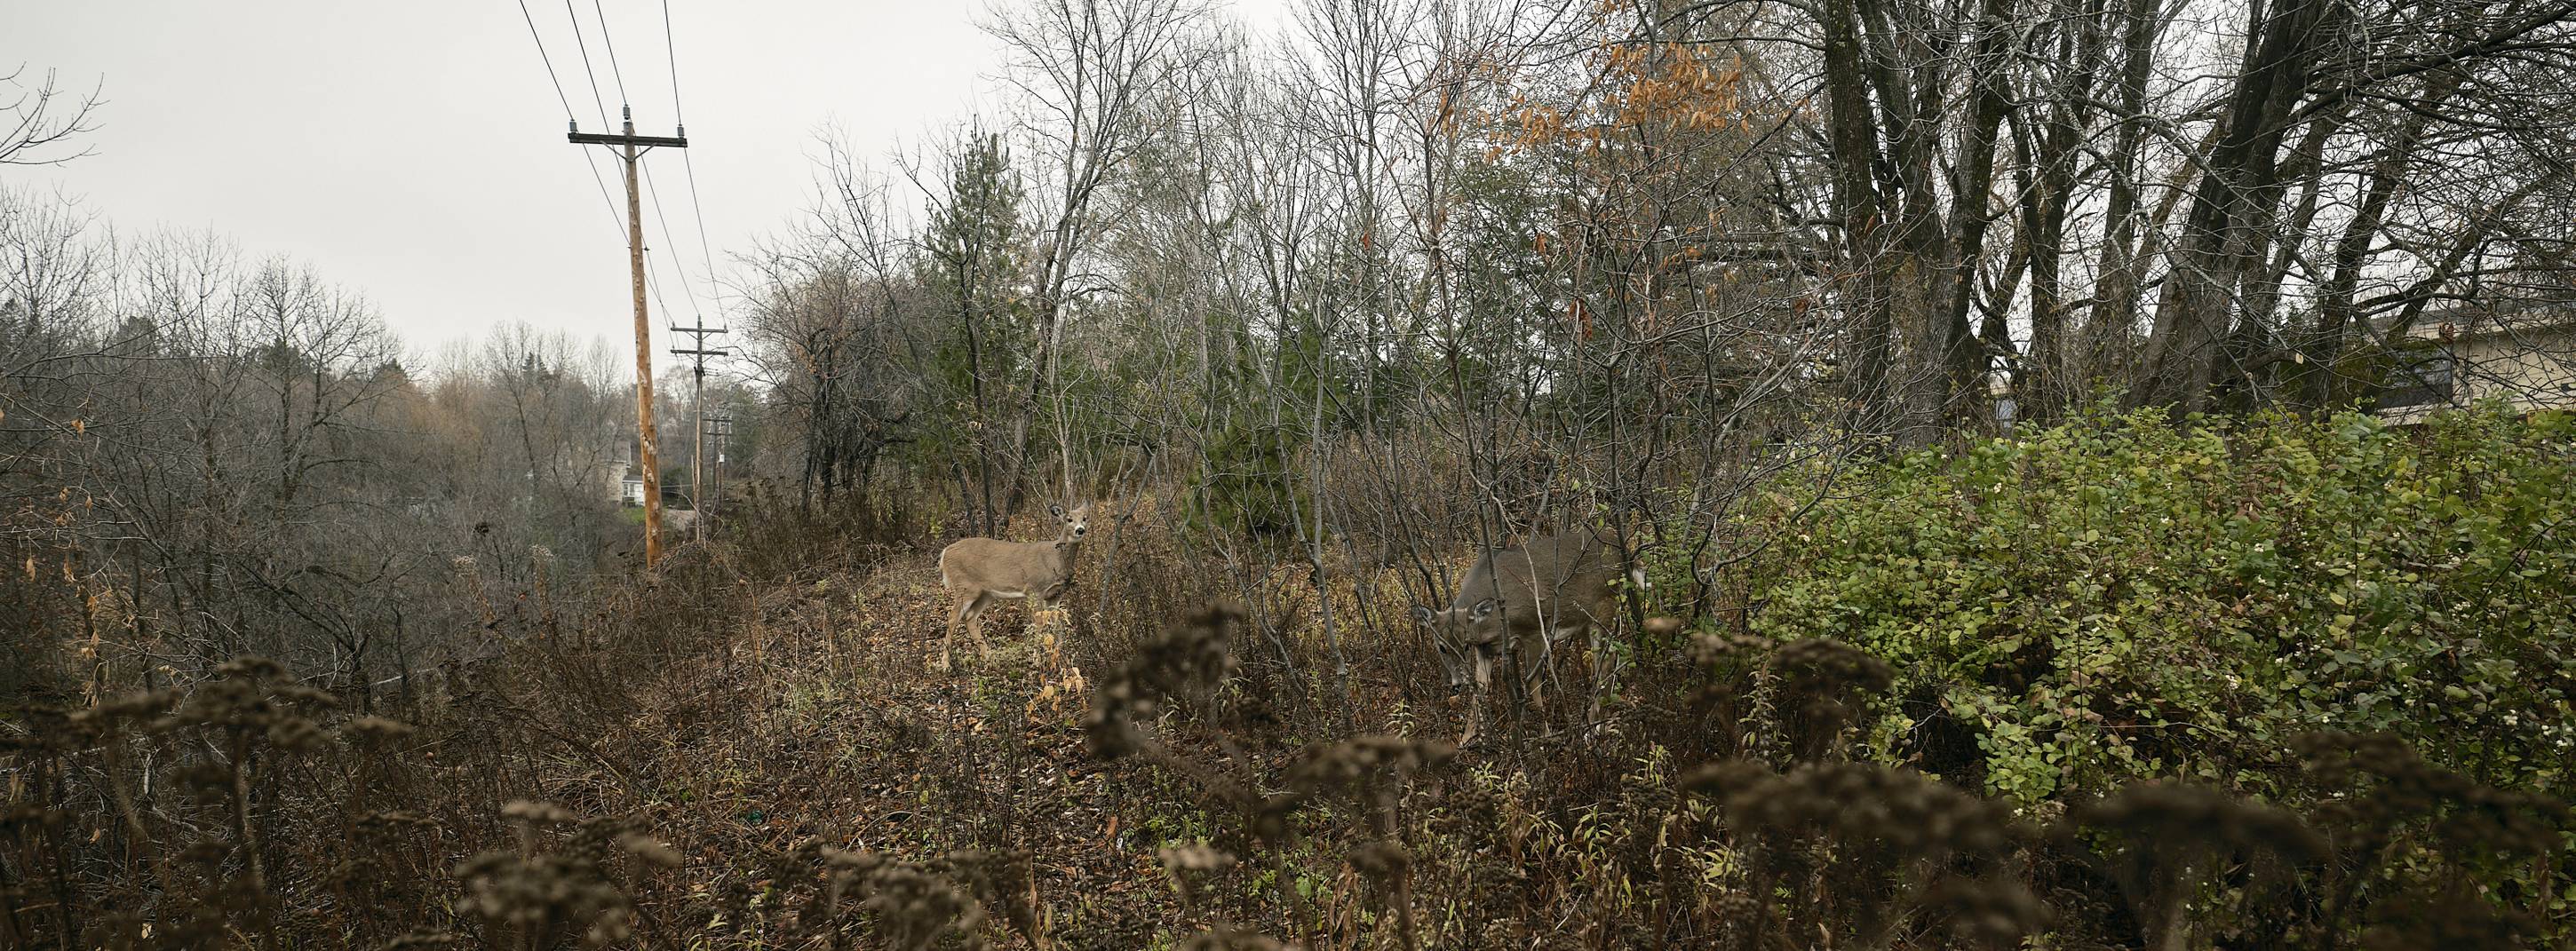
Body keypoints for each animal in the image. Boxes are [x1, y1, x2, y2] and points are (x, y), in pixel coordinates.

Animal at [936, 503, 1093, 669]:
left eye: (1085, 518)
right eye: (1069, 519)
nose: (1080, 530)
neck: (1055, 560)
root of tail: (945, 553)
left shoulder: (1055, 595)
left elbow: (1058, 626)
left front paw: (1064, 661)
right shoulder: (1034, 589)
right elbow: (1038, 623)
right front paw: (1036, 660)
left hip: (985, 594)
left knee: (970, 618)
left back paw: (988, 658)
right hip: (965, 586)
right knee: (952, 617)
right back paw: (945, 664)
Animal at [1412, 527, 1635, 746]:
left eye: (1465, 645)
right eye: (1441, 647)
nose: (1458, 683)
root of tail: (1627, 557)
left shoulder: (1534, 631)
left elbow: (1534, 687)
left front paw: (1544, 737)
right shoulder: (1485, 649)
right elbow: (1480, 690)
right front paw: (1466, 740)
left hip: (1605, 608)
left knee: (1605, 663)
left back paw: (1593, 729)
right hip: (1585, 625)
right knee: (1614, 657)